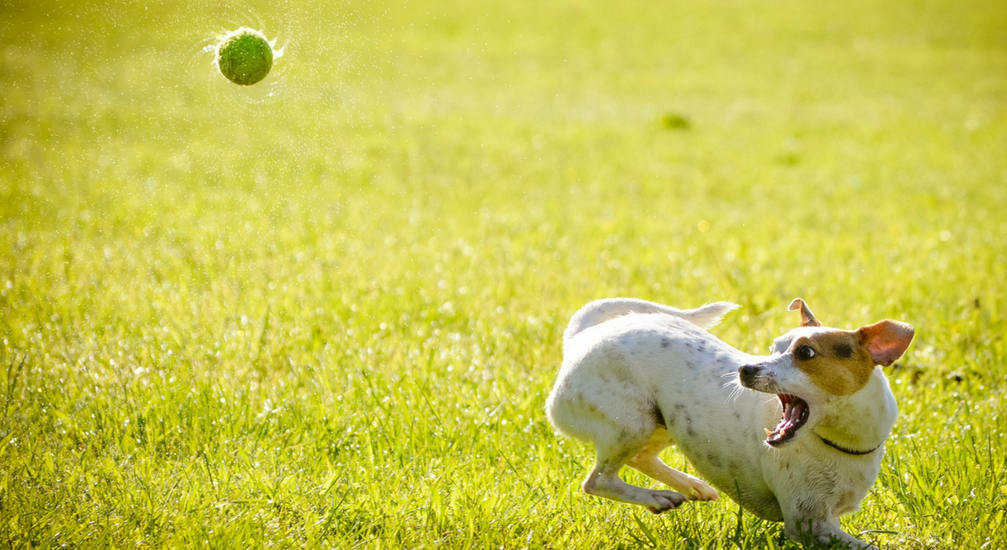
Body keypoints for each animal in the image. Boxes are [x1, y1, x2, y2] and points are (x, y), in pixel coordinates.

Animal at [547, 298, 918, 543]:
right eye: (773, 347)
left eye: (806, 353)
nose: (746, 369)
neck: (839, 442)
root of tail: (581, 336)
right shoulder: (808, 525)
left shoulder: (827, 521)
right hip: (632, 422)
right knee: (598, 481)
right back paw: (658, 497)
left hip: (666, 421)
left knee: (640, 457)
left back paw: (689, 486)